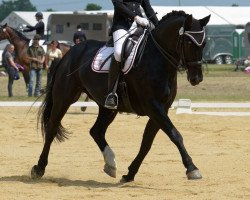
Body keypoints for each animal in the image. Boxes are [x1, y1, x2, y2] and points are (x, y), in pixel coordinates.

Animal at [31, 10, 211, 183]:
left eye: (204, 44)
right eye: (189, 43)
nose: (196, 78)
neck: (157, 59)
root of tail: (70, 52)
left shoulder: (161, 109)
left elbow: (147, 143)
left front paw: (130, 174)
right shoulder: (153, 107)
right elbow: (175, 134)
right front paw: (192, 168)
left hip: (108, 107)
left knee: (96, 131)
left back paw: (110, 164)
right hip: (64, 98)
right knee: (52, 127)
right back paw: (39, 168)